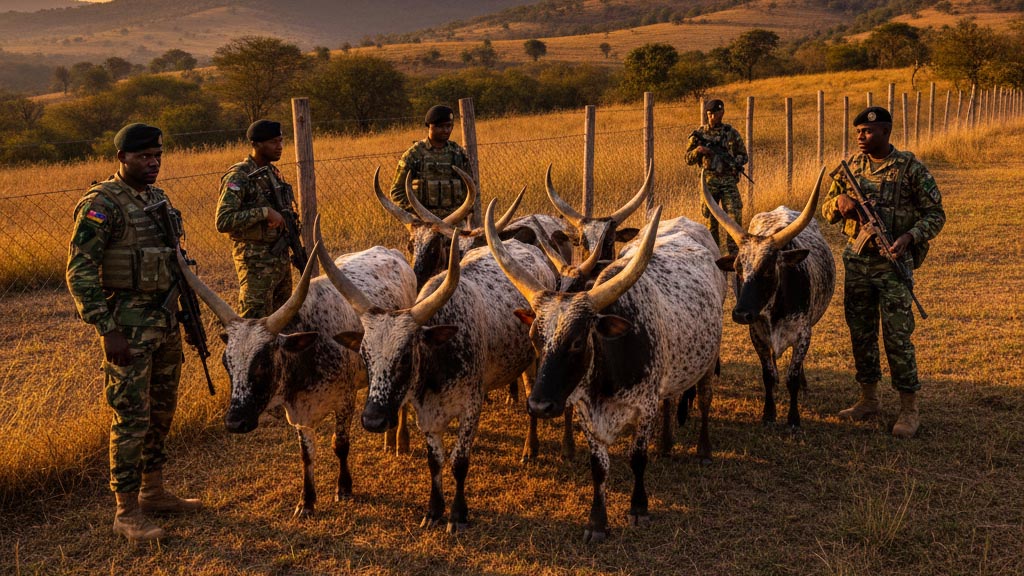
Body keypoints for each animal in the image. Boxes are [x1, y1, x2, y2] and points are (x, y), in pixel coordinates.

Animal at [176, 241, 417, 518]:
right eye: (227, 364)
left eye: (264, 362)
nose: (235, 422)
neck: (309, 351)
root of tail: (388, 250)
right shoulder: (299, 414)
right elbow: (306, 454)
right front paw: (307, 501)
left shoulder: (345, 401)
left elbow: (340, 444)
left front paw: (344, 488)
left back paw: (399, 440)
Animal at [320, 212, 558, 532]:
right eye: (365, 357)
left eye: (406, 357)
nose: (372, 420)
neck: (439, 361)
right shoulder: (426, 413)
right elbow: (435, 461)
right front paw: (434, 510)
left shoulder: (471, 407)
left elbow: (459, 462)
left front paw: (458, 514)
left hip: (535, 358)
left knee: (532, 394)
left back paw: (530, 448)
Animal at [485, 203, 727, 543]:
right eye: (535, 337)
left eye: (577, 341)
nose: (539, 406)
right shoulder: (588, 413)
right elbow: (598, 468)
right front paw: (597, 522)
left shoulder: (644, 407)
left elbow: (638, 459)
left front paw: (639, 508)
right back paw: (666, 443)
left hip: (708, 359)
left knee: (704, 400)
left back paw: (703, 449)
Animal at [704, 167, 836, 429]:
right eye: (737, 268)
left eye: (767, 270)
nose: (740, 313)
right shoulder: (757, 335)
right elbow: (768, 375)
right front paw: (769, 413)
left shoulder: (803, 333)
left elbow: (791, 376)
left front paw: (793, 418)